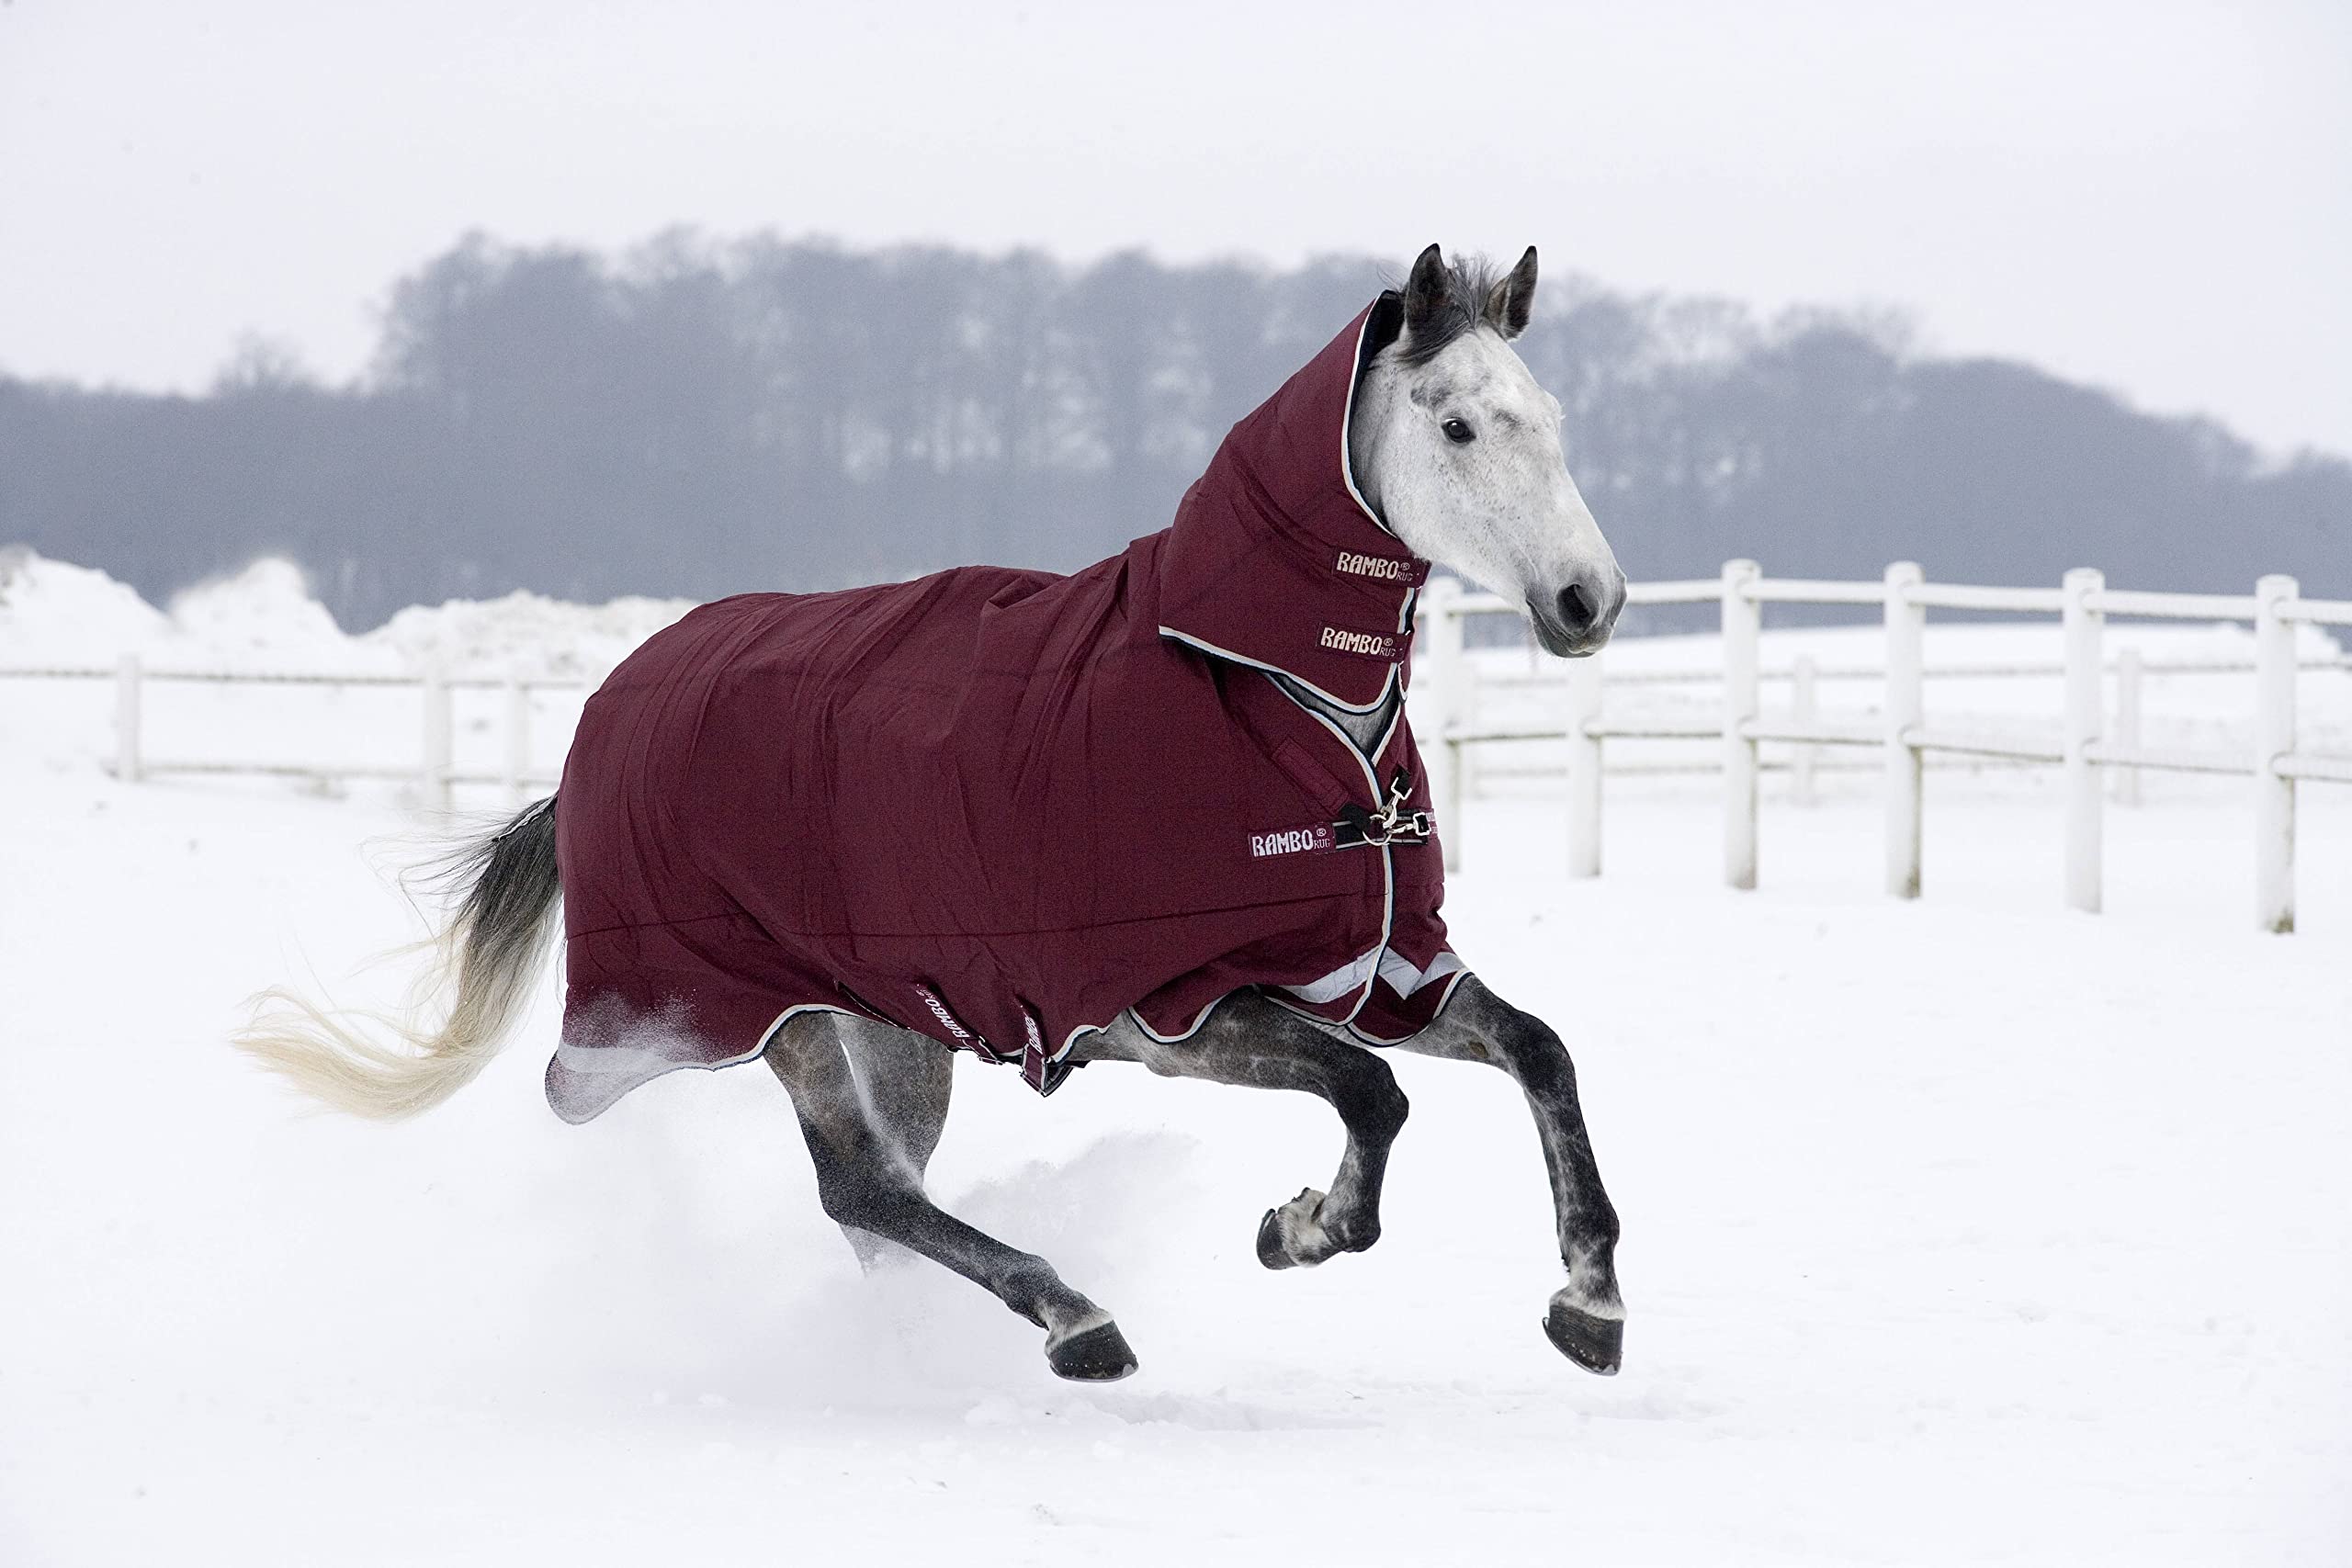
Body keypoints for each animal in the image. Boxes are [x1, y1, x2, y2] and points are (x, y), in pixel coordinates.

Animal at [237, 244, 1630, 1384]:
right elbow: (1373, 1096)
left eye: (1555, 420)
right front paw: (1303, 1228)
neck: (1269, 695)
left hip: (897, 1032)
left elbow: (1540, 1050)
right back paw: (1072, 1320)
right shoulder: (1177, 1006)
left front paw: (1589, 1303)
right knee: (857, 1187)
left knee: (881, 1201)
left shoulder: (1379, 970)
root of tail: (603, 720)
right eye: (1458, 425)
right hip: (771, 1014)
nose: (1588, 600)